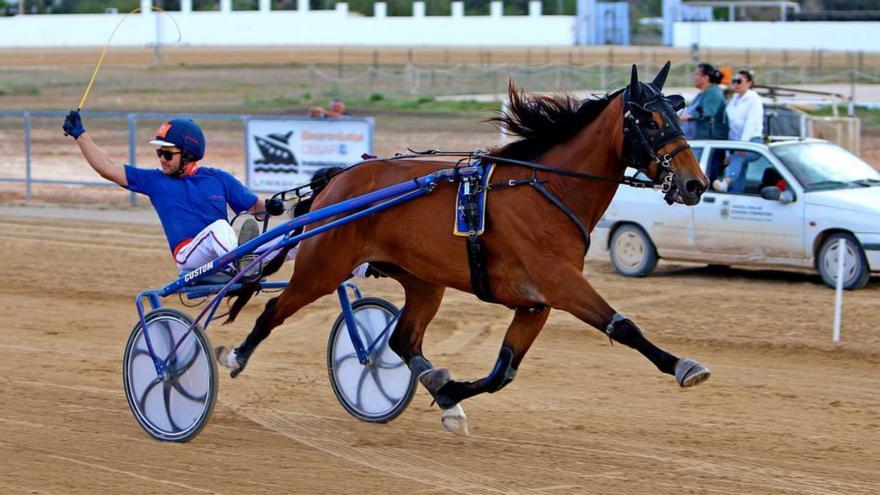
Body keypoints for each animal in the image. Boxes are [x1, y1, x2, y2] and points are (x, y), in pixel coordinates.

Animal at [217, 63, 712, 438]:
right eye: (649, 121)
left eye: (677, 116)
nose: (695, 184)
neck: (547, 188)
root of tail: (336, 179)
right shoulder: (561, 284)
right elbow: (623, 326)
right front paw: (685, 366)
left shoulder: (536, 303)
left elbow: (502, 372)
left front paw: (449, 394)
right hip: (322, 266)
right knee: (274, 309)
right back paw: (234, 356)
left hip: (422, 281)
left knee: (401, 339)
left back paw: (432, 380)